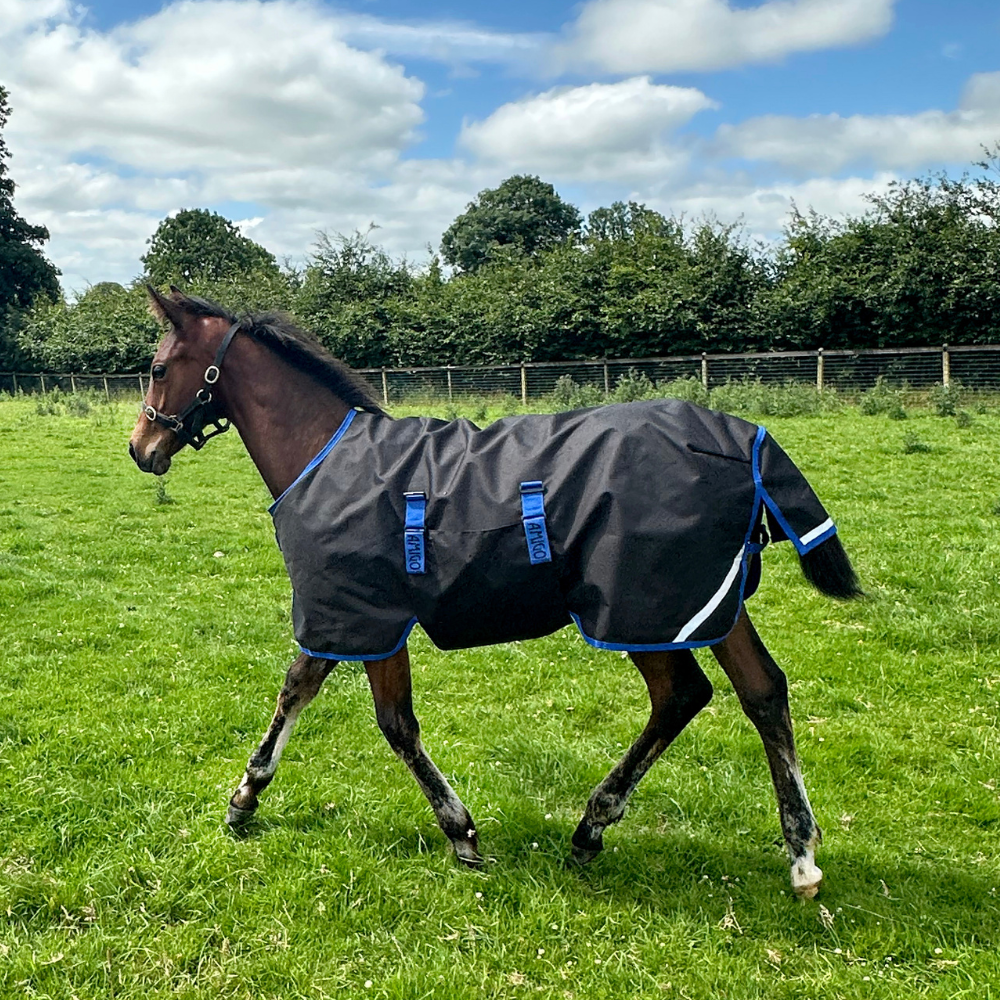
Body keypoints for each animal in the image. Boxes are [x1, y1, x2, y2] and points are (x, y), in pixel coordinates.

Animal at [129, 287, 861, 899]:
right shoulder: (353, 618)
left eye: (160, 368)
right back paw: (799, 854)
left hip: (638, 610)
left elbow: (379, 718)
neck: (325, 457)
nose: (141, 447)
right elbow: (314, 693)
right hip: (706, 604)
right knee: (762, 691)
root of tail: (743, 438)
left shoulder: (362, 616)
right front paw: (247, 797)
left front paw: (459, 832)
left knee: (682, 694)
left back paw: (594, 826)